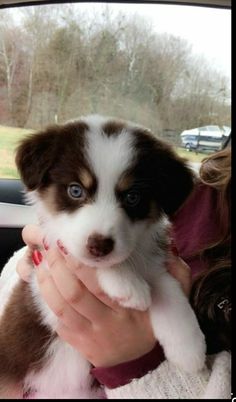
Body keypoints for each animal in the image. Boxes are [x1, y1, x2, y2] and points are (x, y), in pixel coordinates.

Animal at [0, 115, 206, 398]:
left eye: (133, 197)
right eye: (75, 190)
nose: (99, 246)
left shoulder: (153, 263)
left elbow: (170, 291)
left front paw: (190, 350)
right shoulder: (43, 291)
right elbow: (78, 253)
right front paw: (127, 284)